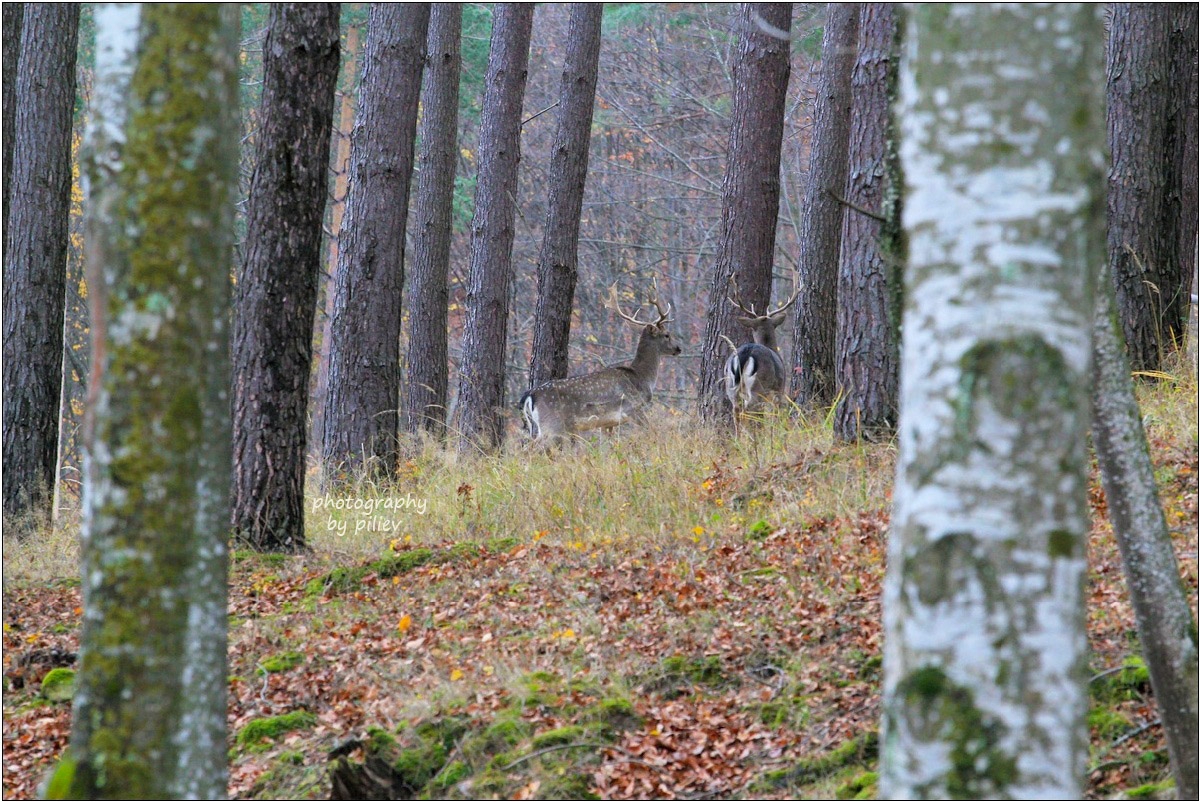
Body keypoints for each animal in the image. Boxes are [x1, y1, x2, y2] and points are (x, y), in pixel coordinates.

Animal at [518, 283, 681, 449]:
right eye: (667, 335)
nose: (678, 348)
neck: (642, 377)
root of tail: (529, 395)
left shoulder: (608, 422)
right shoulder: (632, 408)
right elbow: (651, 431)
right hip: (553, 424)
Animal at [720, 271, 796, 425]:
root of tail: (745, 354)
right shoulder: (779, 390)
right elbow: (774, 415)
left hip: (730, 385)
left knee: (736, 411)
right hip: (758, 386)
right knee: (747, 412)